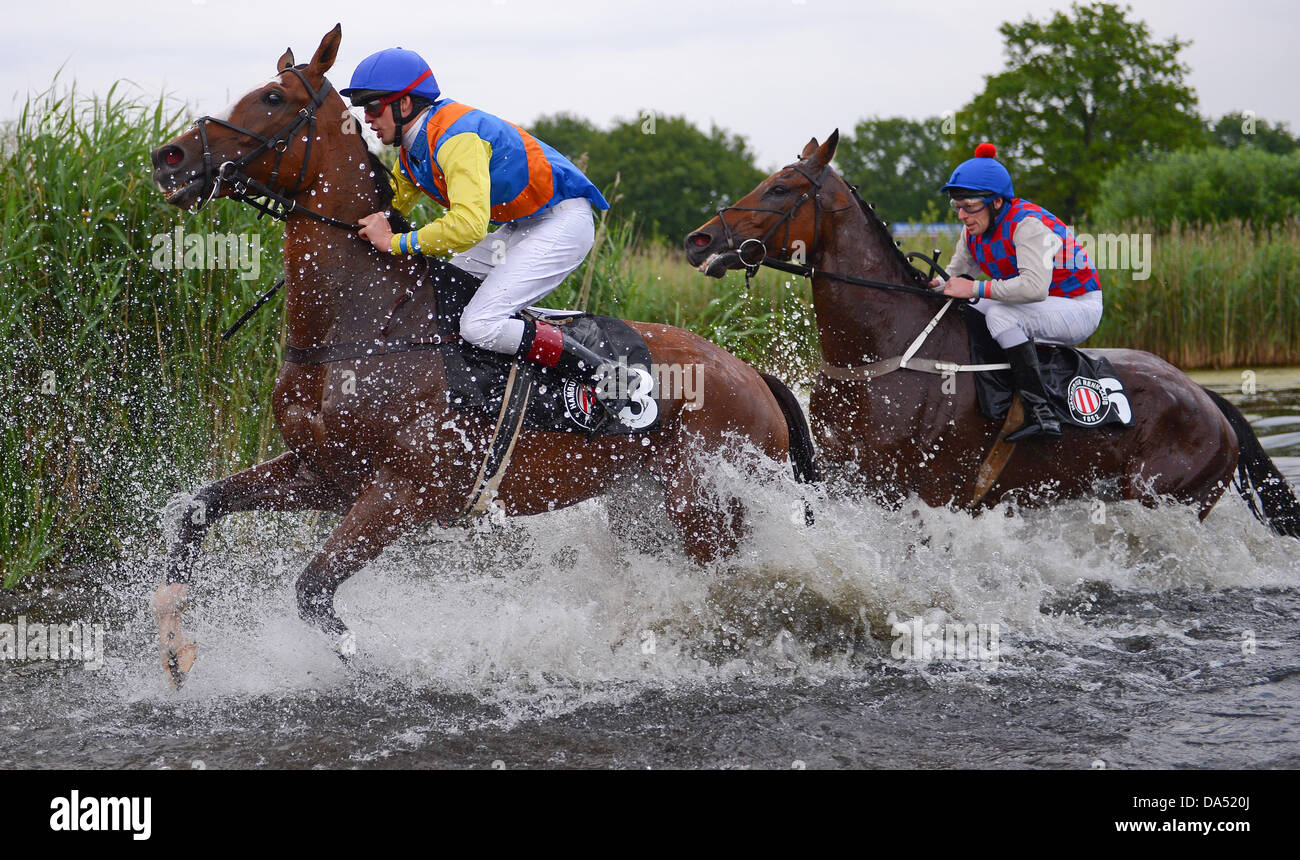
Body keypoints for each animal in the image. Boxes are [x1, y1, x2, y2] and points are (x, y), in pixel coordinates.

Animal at [144, 25, 811, 685]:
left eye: (273, 98)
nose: (167, 158)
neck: (366, 322)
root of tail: (751, 373)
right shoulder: (325, 472)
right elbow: (200, 507)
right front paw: (175, 646)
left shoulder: (401, 491)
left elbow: (312, 592)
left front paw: (371, 666)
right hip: (640, 505)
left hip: (702, 504)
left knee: (737, 583)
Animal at [686, 130, 1294, 540]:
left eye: (780, 188)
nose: (699, 240)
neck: (883, 349)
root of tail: (1209, 398)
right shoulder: (850, 481)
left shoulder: (928, 495)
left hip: (1166, 498)